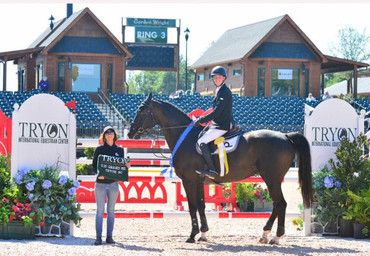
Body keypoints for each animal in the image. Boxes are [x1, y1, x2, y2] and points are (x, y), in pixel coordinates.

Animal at [127, 93, 312, 245]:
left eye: (141, 110)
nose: (130, 133)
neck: (185, 138)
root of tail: (285, 136)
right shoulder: (198, 182)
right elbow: (201, 205)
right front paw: (203, 234)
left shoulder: (189, 181)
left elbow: (192, 206)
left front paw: (192, 235)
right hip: (272, 179)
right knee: (277, 204)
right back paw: (265, 234)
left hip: (272, 179)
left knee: (280, 203)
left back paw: (276, 237)